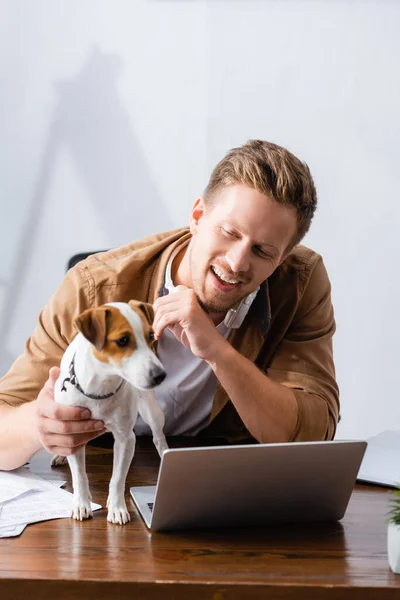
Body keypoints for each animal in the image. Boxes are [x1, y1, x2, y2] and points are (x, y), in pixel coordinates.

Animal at [50, 300, 168, 524]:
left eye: (150, 336)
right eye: (123, 340)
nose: (161, 375)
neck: (101, 388)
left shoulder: (125, 439)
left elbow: (118, 478)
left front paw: (117, 508)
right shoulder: (72, 430)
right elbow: (79, 476)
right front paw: (81, 503)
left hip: (152, 411)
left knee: (158, 437)